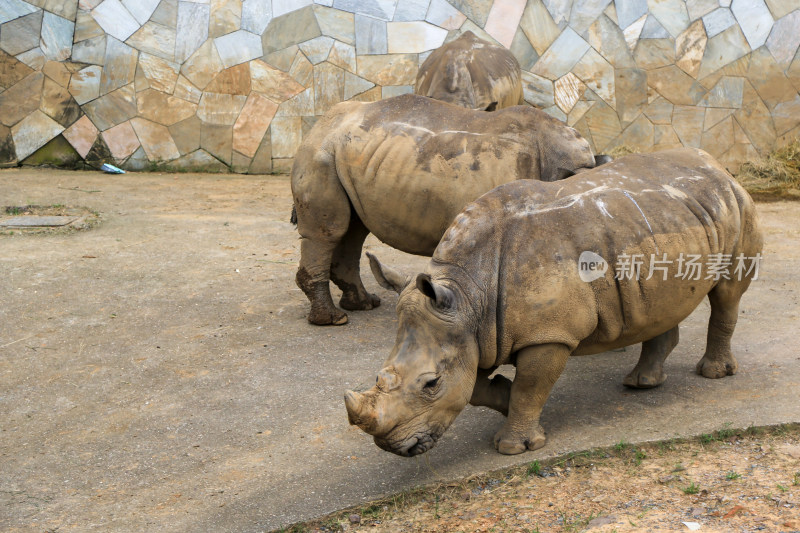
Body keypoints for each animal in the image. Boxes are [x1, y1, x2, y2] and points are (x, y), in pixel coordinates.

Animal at [344, 148, 764, 456]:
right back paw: (642, 384)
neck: (467, 292)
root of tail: (717, 165)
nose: (391, 446)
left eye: (431, 384)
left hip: (736, 205)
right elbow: (476, 387)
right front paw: (504, 396)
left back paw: (713, 374)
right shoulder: (470, 331)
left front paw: (513, 446)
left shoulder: (548, 334)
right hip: (663, 221)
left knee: (727, 294)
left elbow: (531, 385)